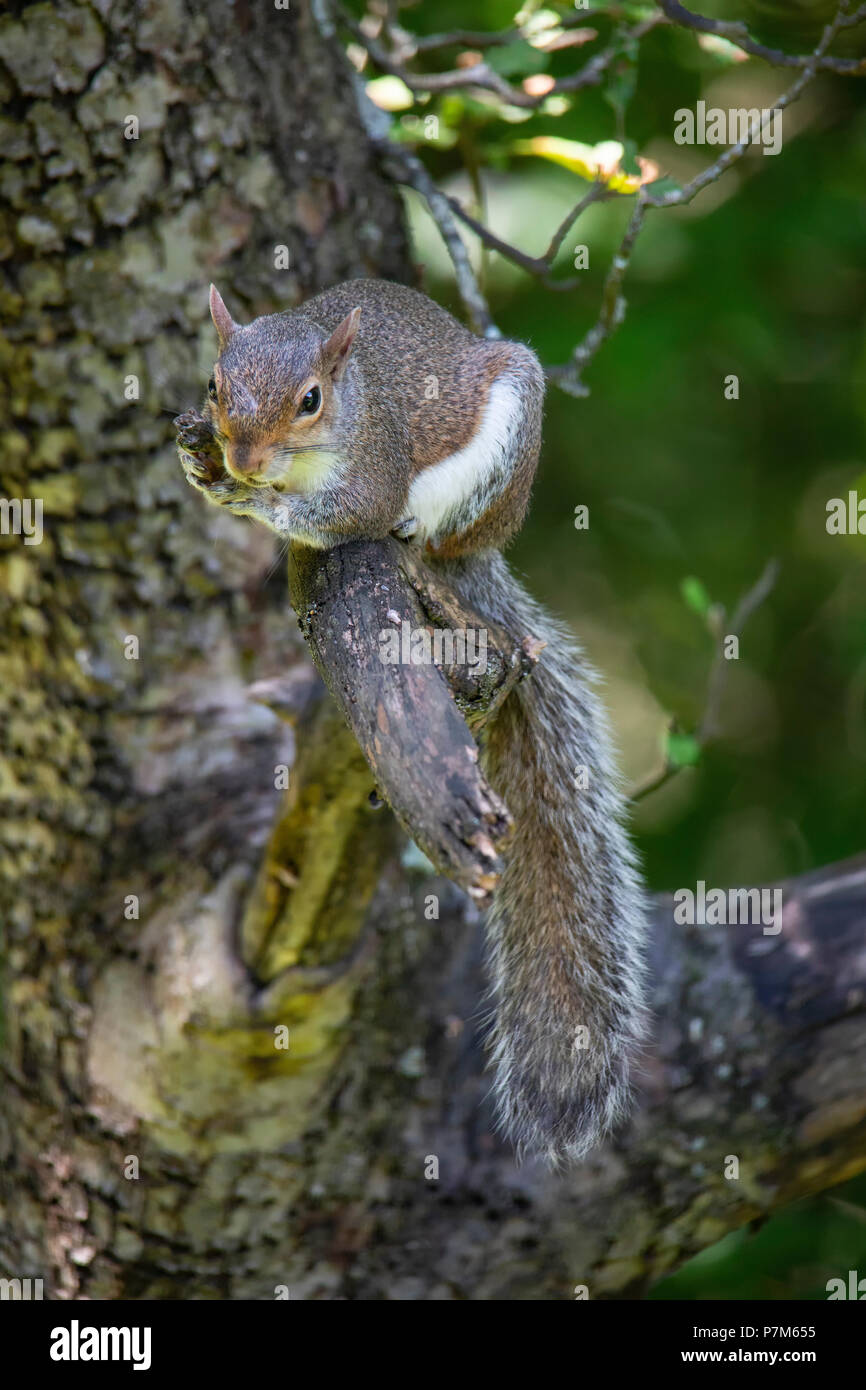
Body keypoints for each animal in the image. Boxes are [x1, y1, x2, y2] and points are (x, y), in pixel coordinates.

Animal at [177, 279, 650, 1162]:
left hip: (495, 455)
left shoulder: (373, 470)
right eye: (215, 386)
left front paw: (253, 499)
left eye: (311, 400)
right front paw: (200, 460)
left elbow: (336, 513)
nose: (245, 460)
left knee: (428, 531)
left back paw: (411, 535)